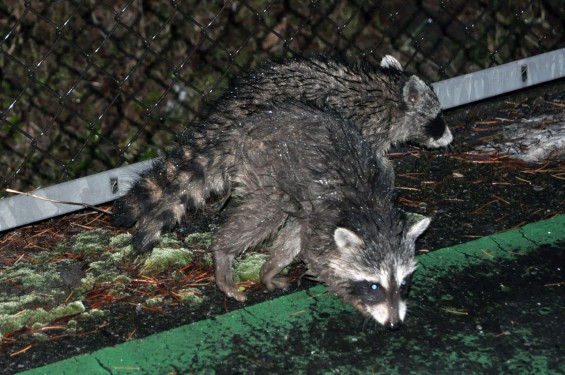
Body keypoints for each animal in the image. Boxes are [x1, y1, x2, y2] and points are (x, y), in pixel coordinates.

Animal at [111, 55, 450, 256]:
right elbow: (369, 163)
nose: (450, 137)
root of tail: (228, 113)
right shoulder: (360, 126)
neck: (388, 93)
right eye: (437, 118)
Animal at [213, 104, 432, 330]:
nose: (394, 324)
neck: (373, 215)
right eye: (374, 286)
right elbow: (314, 257)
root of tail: (246, 126)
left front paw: (272, 266)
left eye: (403, 282)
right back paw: (223, 250)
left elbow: (297, 236)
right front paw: (356, 300)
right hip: (268, 167)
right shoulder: (327, 216)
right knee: (268, 211)